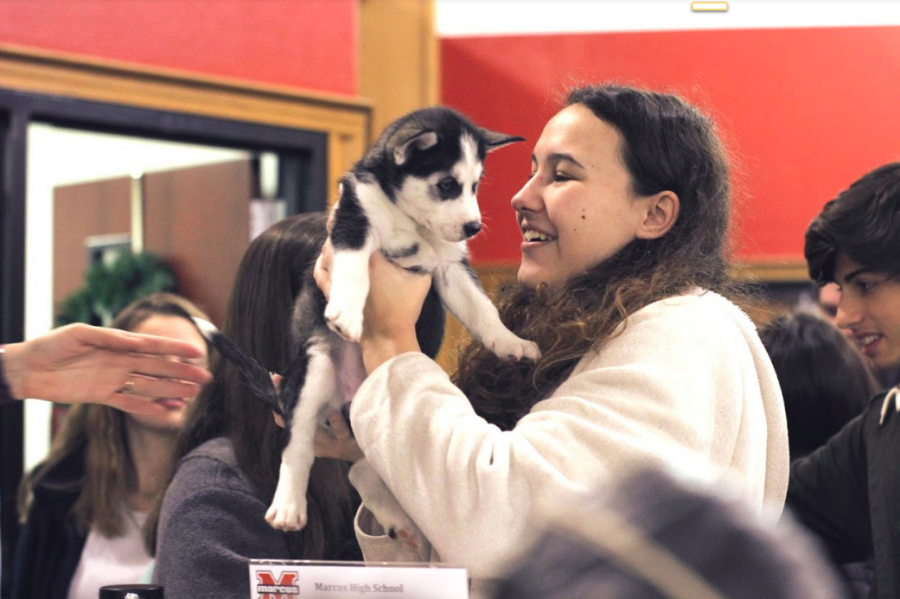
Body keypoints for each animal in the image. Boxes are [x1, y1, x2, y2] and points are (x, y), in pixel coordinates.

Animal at [200, 106, 536, 544]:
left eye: (475, 185)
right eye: (446, 184)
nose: (473, 228)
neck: (406, 217)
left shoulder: (449, 266)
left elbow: (481, 309)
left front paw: (509, 342)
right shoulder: (351, 223)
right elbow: (353, 267)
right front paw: (345, 310)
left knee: (362, 468)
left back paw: (396, 519)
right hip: (315, 369)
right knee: (298, 447)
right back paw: (288, 506)